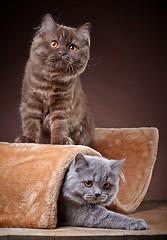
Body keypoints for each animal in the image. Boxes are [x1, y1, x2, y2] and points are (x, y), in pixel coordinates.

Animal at [15, 14, 94, 145]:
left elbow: (59, 124)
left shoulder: (62, 103)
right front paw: (29, 139)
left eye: (72, 48)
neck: (50, 80)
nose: (62, 53)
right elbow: (31, 123)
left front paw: (59, 140)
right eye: (54, 44)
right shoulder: (32, 100)